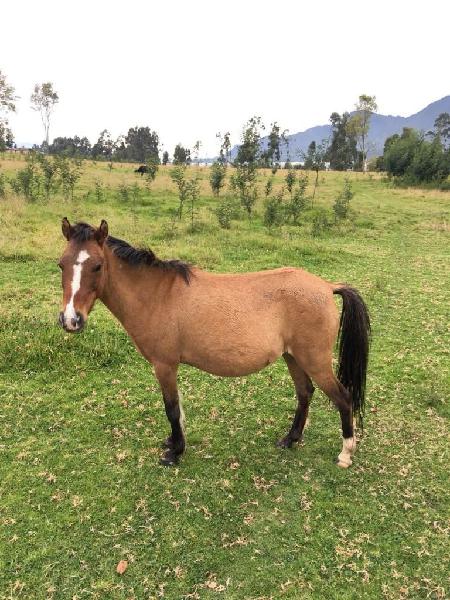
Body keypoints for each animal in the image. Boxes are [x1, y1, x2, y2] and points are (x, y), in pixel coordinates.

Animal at [58, 219, 370, 468]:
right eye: (61, 264)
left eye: (97, 266)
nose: (71, 319)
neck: (156, 295)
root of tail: (327, 287)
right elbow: (177, 409)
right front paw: (173, 443)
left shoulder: (164, 365)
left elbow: (172, 408)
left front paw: (175, 453)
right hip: (293, 357)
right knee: (305, 393)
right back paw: (290, 439)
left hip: (314, 360)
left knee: (343, 399)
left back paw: (345, 454)